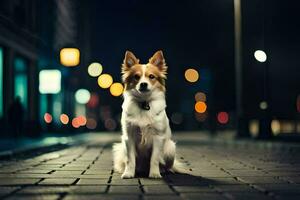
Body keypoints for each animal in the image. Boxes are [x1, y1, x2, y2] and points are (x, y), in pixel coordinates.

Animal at [112, 50, 184, 178]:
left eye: (151, 77)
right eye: (136, 77)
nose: (143, 84)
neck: (144, 103)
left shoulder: (158, 137)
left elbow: (154, 159)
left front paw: (154, 174)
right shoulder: (129, 137)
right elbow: (130, 159)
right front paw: (128, 173)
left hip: (170, 148)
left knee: (165, 164)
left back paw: (163, 170)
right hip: (120, 148)